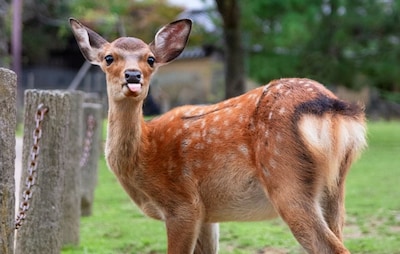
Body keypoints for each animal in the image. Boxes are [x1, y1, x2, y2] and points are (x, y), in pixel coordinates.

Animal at [69, 16, 366, 253]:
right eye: (109, 58)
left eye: (150, 59)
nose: (132, 76)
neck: (145, 152)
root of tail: (332, 107)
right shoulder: (207, 214)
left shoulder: (183, 204)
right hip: (335, 188)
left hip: (285, 177)